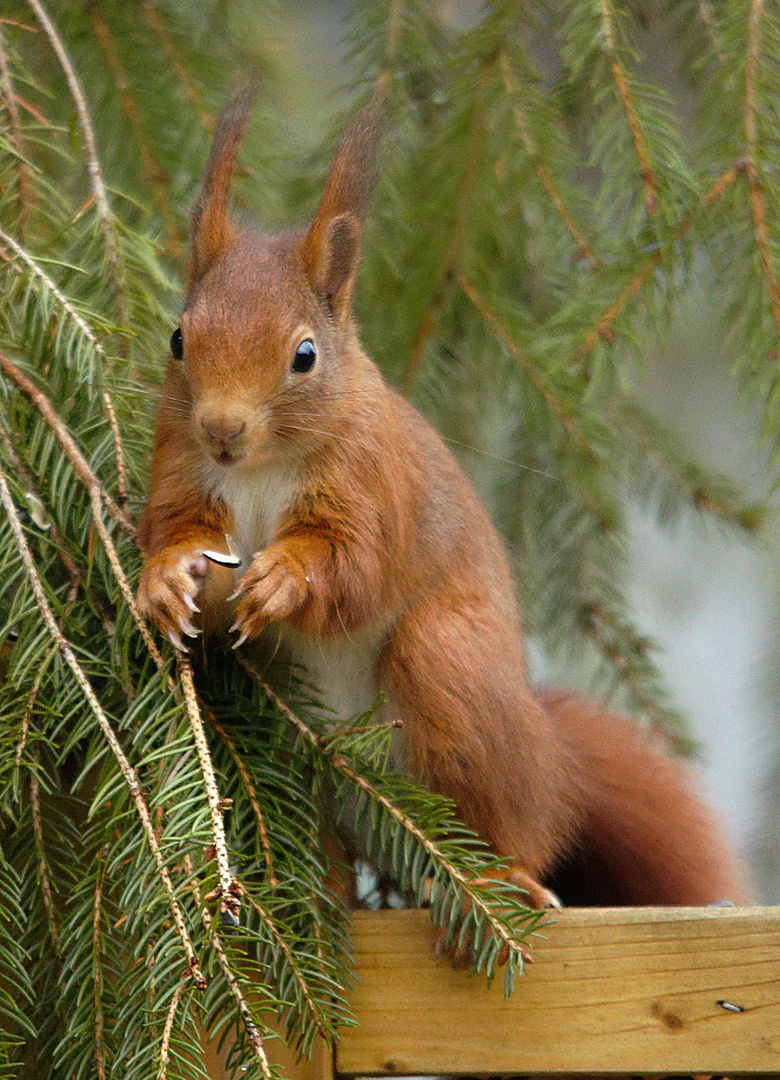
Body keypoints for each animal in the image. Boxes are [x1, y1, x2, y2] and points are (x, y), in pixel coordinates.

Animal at [136, 86, 743, 911]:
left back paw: (502, 876)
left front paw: (282, 579)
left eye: (304, 356)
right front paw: (165, 583)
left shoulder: (374, 486)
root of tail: (555, 759)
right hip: (304, 750)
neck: (261, 468)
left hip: (451, 669)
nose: (222, 429)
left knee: (519, 820)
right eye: (177, 339)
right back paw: (327, 898)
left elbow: (354, 567)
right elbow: (171, 530)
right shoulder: (181, 469)